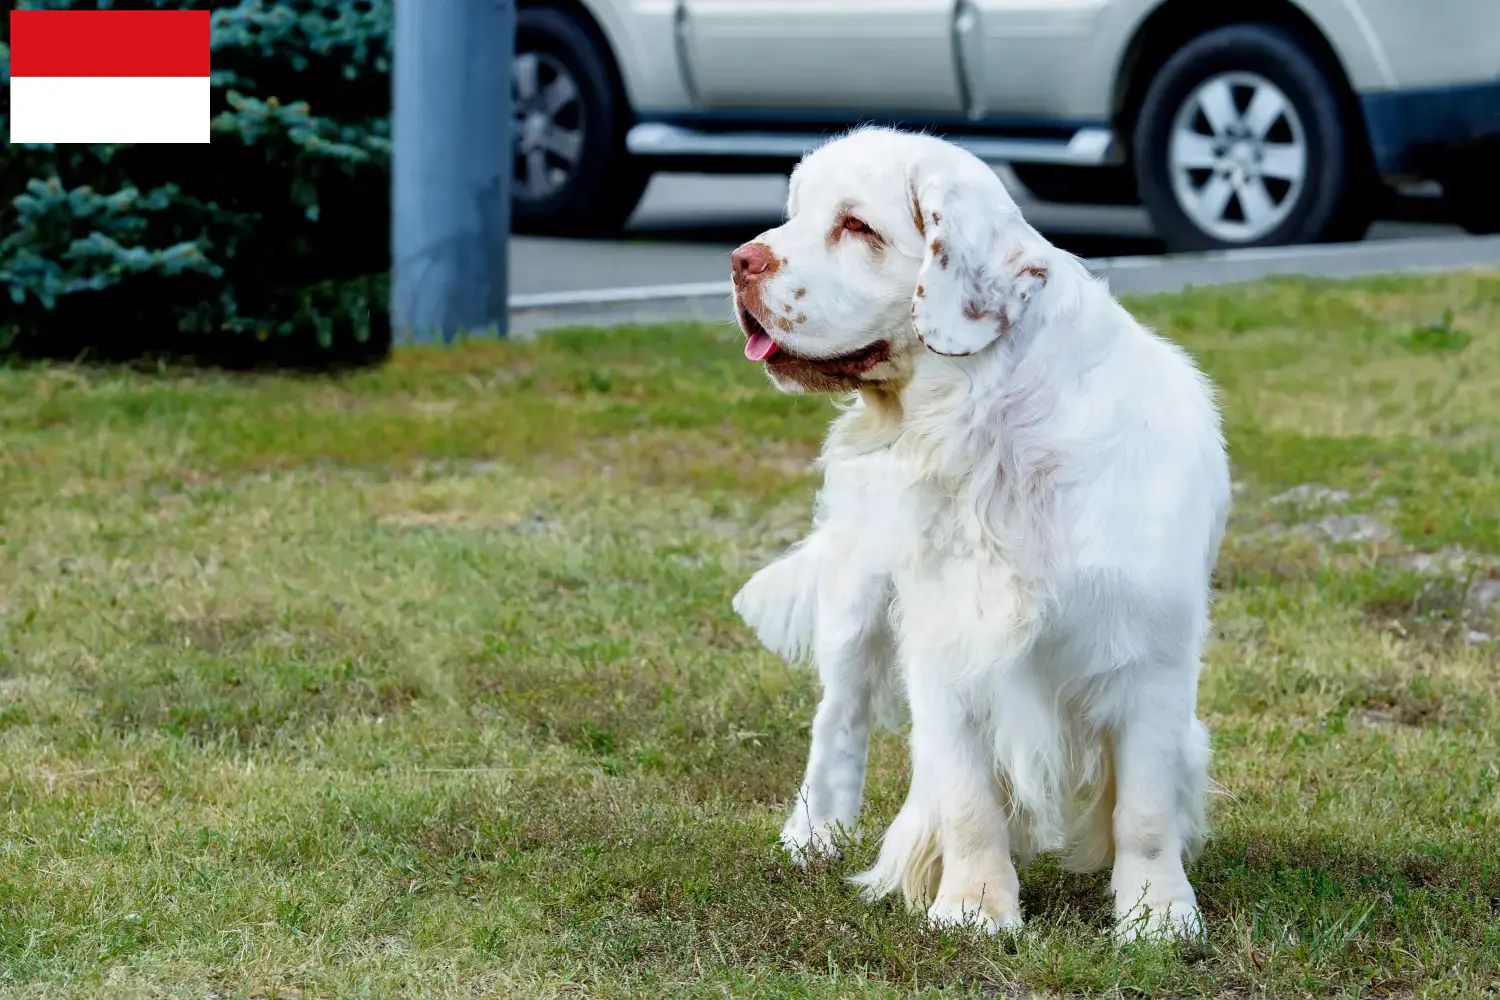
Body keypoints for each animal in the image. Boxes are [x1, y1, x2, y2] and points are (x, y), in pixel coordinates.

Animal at [729, 128, 1230, 941]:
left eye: (856, 226)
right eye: (796, 213)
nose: (741, 260)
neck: (992, 435)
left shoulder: (1149, 653)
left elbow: (1147, 808)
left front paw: (1156, 916)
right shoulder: (948, 640)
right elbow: (967, 799)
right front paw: (973, 907)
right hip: (858, 599)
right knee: (839, 719)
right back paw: (813, 837)